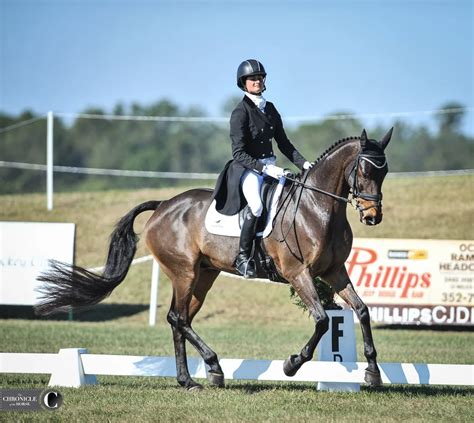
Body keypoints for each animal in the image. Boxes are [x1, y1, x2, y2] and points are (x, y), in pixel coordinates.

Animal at [35, 128, 392, 390]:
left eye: (385, 171)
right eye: (363, 169)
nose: (373, 216)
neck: (316, 208)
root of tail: (164, 205)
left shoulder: (333, 271)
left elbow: (362, 310)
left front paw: (372, 373)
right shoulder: (298, 273)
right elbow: (320, 320)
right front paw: (291, 364)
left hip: (203, 277)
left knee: (180, 320)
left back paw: (189, 379)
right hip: (184, 273)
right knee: (177, 318)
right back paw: (212, 367)